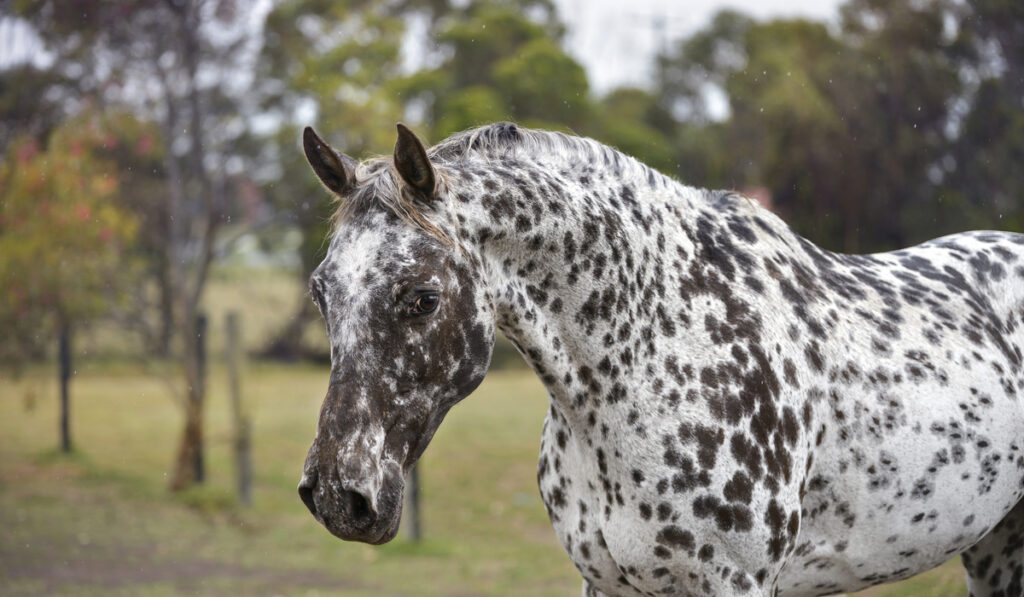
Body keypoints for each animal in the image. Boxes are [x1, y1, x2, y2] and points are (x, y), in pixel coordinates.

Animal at [294, 122, 1024, 597]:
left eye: (421, 297)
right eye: (321, 291)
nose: (337, 494)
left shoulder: (736, 583)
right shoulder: (606, 582)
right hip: (994, 548)